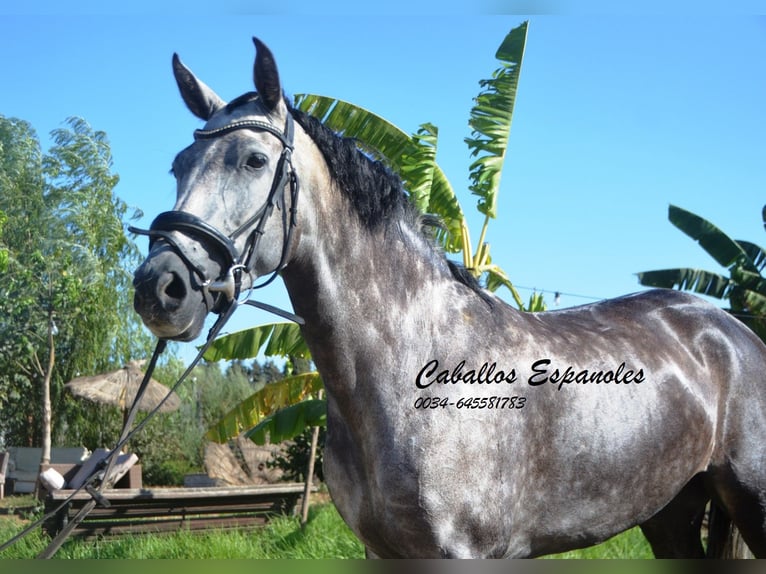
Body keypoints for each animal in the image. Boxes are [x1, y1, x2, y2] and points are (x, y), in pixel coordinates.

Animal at [132, 38, 766, 560]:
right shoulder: (383, 552)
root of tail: (729, 329)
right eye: (179, 166)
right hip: (670, 512)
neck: (411, 369)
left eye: (254, 160)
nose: (159, 287)